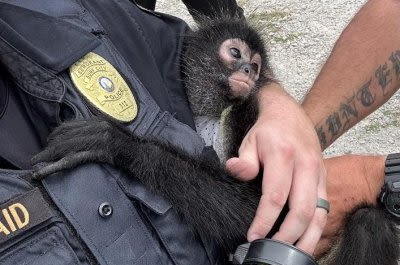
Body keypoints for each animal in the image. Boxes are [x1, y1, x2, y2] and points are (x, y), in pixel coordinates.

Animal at [31, 14, 400, 264]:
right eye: (235, 53)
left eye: (255, 64)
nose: (249, 72)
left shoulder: (244, 112)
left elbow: (258, 214)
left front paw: (116, 143)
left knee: (370, 222)